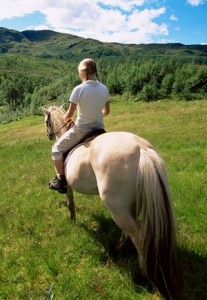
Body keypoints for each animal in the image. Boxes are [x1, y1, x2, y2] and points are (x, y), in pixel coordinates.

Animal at [42, 105, 183, 298]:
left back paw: (143, 274)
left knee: (138, 237)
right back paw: (118, 247)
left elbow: (70, 203)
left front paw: (72, 221)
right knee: (129, 231)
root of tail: (141, 149)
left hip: (116, 207)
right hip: (128, 205)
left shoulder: (68, 185)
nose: (49, 135)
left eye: (46, 121)